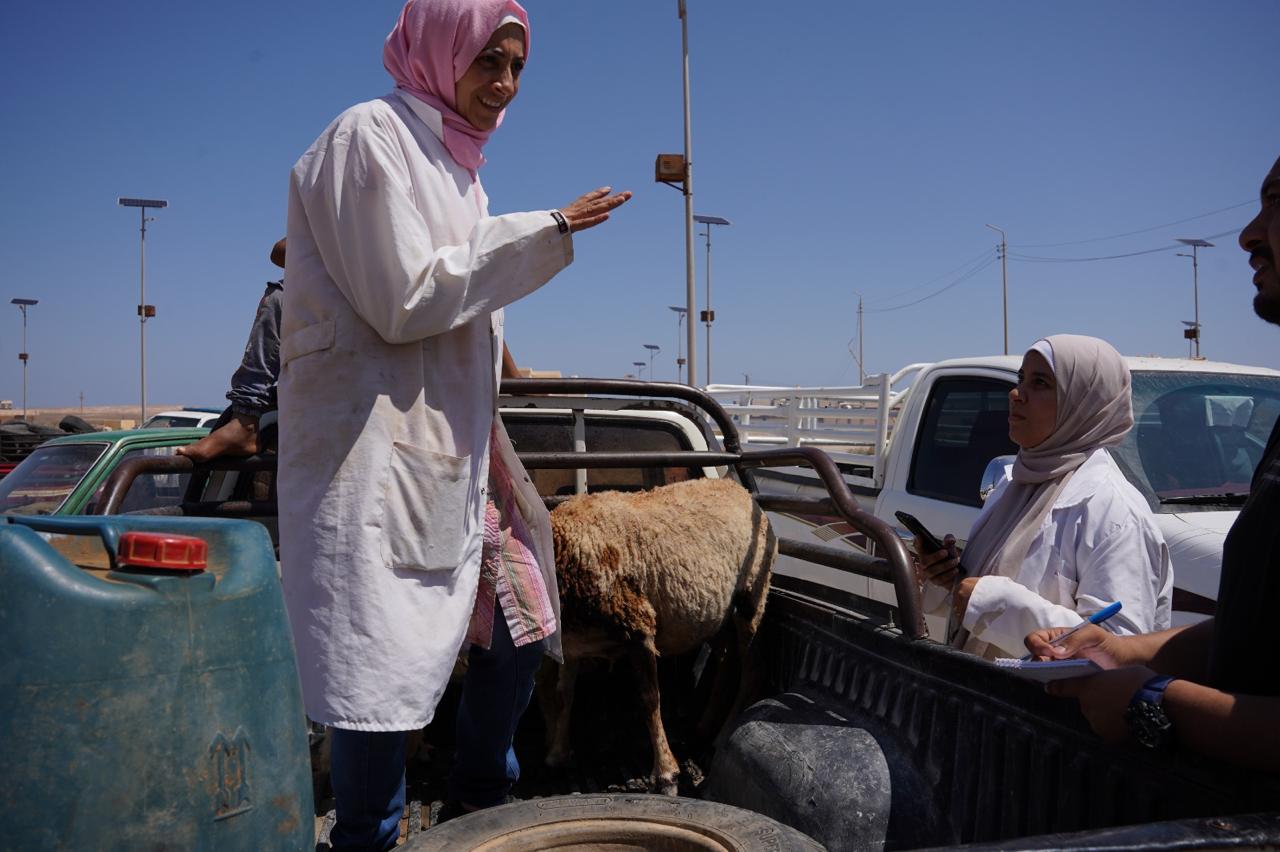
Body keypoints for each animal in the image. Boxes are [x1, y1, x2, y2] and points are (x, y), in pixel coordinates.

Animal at [541, 476, 776, 795]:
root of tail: (741, 490)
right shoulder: (572, 645)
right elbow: (564, 693)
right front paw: (558, 754)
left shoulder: (639, 625)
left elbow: (649, 699)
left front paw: (666, 775)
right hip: (714, 612)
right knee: (726, 661)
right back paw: (704, 727)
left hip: (751, 594)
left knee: (753, 670)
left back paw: (723, 735)